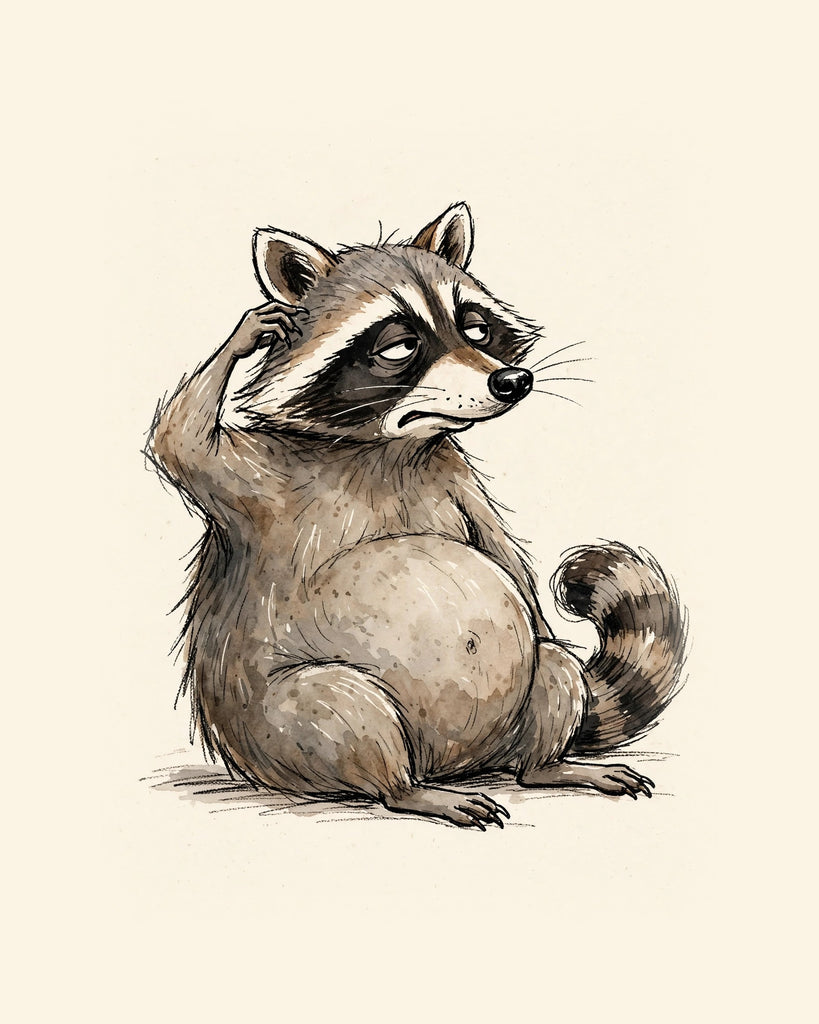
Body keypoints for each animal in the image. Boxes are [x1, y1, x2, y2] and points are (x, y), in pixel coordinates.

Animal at [148, 203, 686, 829]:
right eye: (400, 347)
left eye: (475, 329)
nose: (513, 381)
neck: (391, 447)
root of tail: (456, 764)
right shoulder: (256, 481)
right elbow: (180, 444)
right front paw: (241, 338)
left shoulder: (459, 482)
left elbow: (506, 562)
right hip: (283, 730)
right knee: (341, 706)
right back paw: (406, 790)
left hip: (515, 704)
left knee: (552, 663)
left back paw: (547, 764)